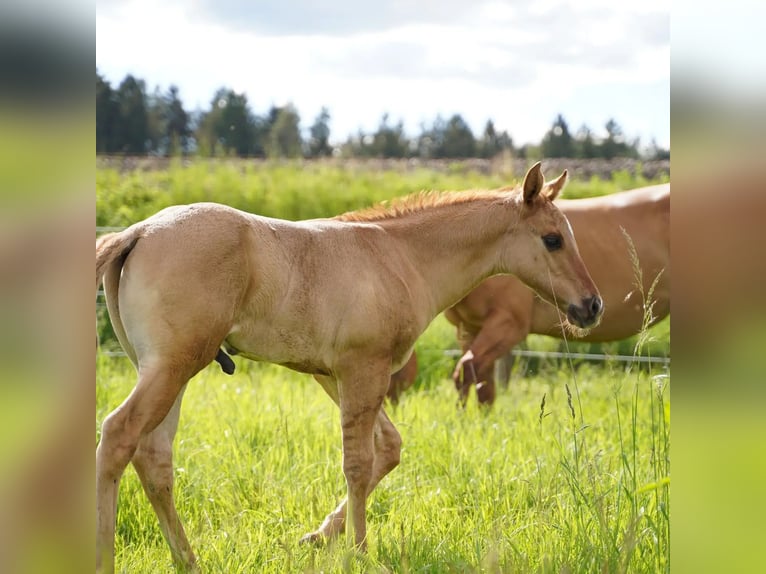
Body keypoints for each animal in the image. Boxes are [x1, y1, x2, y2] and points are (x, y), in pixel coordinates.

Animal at [95, 162, 602, 572]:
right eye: (552, 239)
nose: (592, 306)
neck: (400, 256)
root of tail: (136, 233)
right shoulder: (363, 369)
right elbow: (358, 463)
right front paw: (360, 553)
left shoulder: (334, 375)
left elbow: (388, 448)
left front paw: (318, 537)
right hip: (173, 368)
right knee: (119, 434)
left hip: (170, 370)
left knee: (154, 456)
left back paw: (189, 560)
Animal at [442, 183, 669, 406]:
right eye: (553, 240)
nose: (595, 306)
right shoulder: (468, 329)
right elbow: (482, 387)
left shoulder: (508, 325)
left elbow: (467, 371)